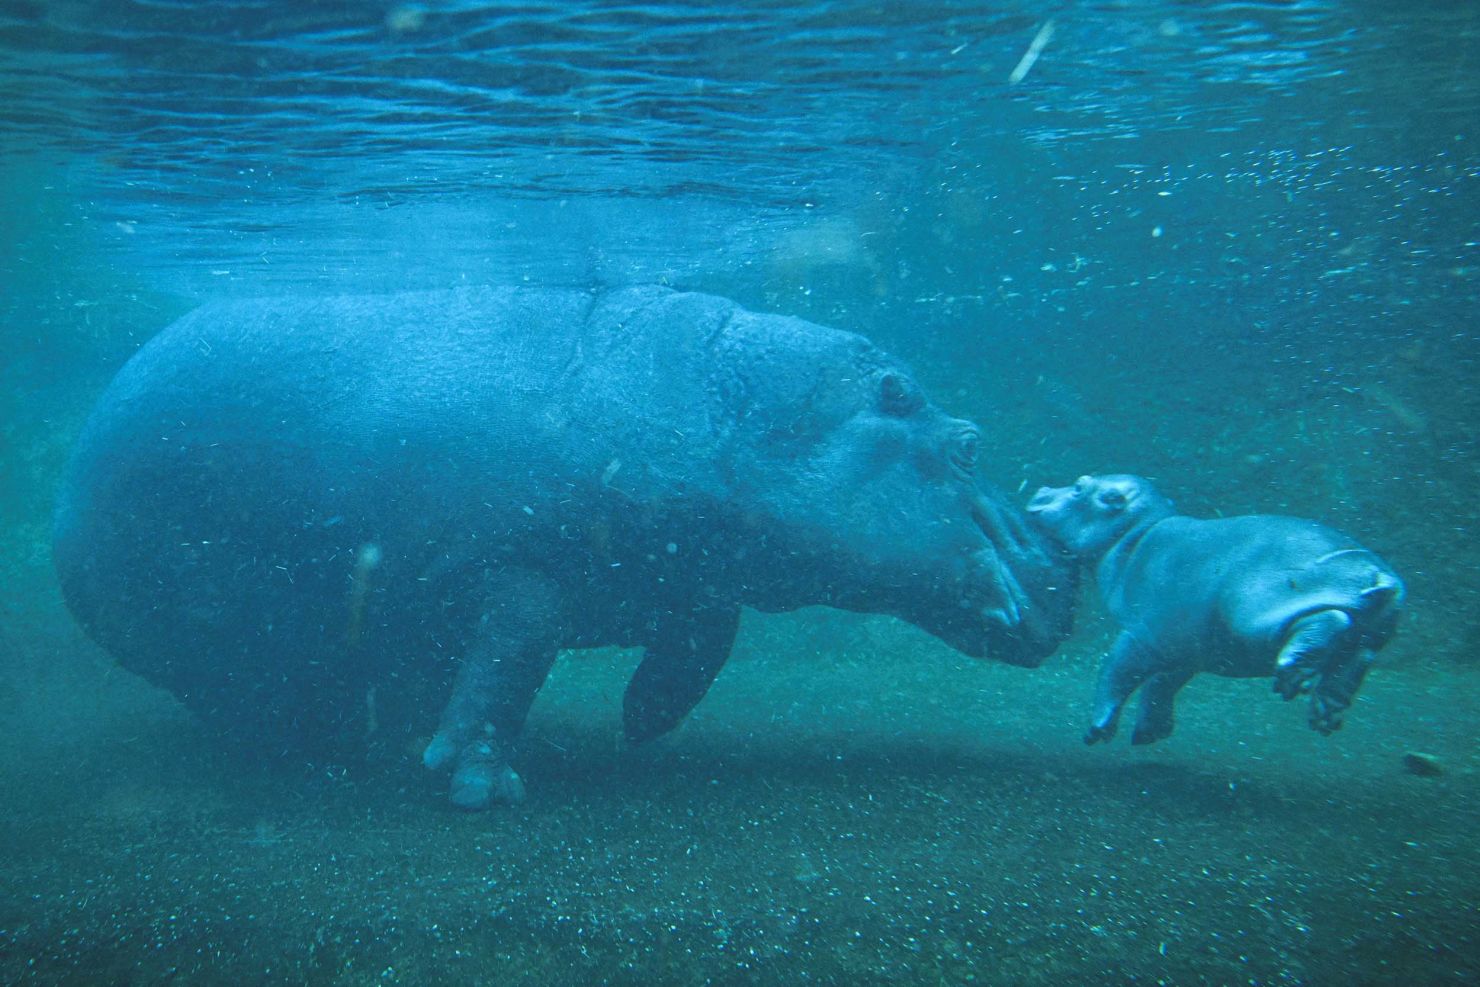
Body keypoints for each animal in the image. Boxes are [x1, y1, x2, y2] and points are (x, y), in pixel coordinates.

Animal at [53, 286, 1075, 808]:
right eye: (969, 443)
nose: (1065, 570)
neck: (739, 400)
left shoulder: (691, 572)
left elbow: (706, 636)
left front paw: (644, 721)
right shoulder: (508, 561)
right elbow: (513, 654)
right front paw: (481, 782)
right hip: (212, 628)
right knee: (243, 696)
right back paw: (321, 746)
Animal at [1025, 474, 1403, 745]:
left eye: (1079, 487)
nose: (1042, 490)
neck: (1133, 536)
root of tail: (1376, 572)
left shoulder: (1141, 633)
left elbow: (1116, 672)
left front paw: (1098, 729)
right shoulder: (1184, 647)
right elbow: (1161, 685)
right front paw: (1149, 733)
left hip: (1255, 614)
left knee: (1331, 620)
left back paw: (1293, 668)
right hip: (1372, 629)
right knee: (1359, 655)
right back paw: (1326, 711)